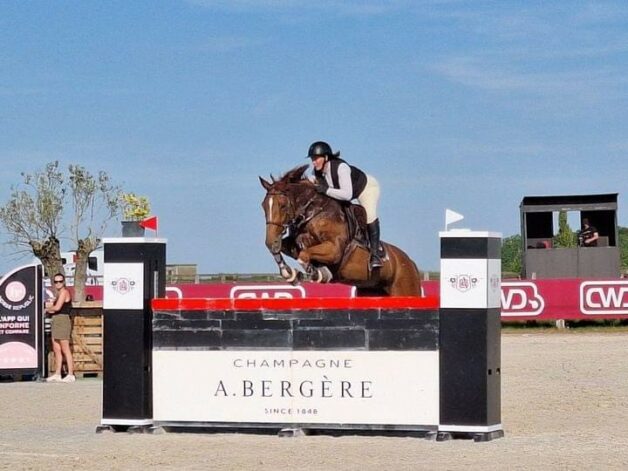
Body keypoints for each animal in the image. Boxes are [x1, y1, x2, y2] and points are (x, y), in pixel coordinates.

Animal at [258, 165, 424, 296]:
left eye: (282, 206)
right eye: (263, 206)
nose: (269, 241)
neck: (313, 213)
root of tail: (410, 262)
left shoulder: (334, 250)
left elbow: (304, 255)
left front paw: (319, 273)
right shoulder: (296, 242)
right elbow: (285, 249)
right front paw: (289, 273)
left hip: (406, 289)